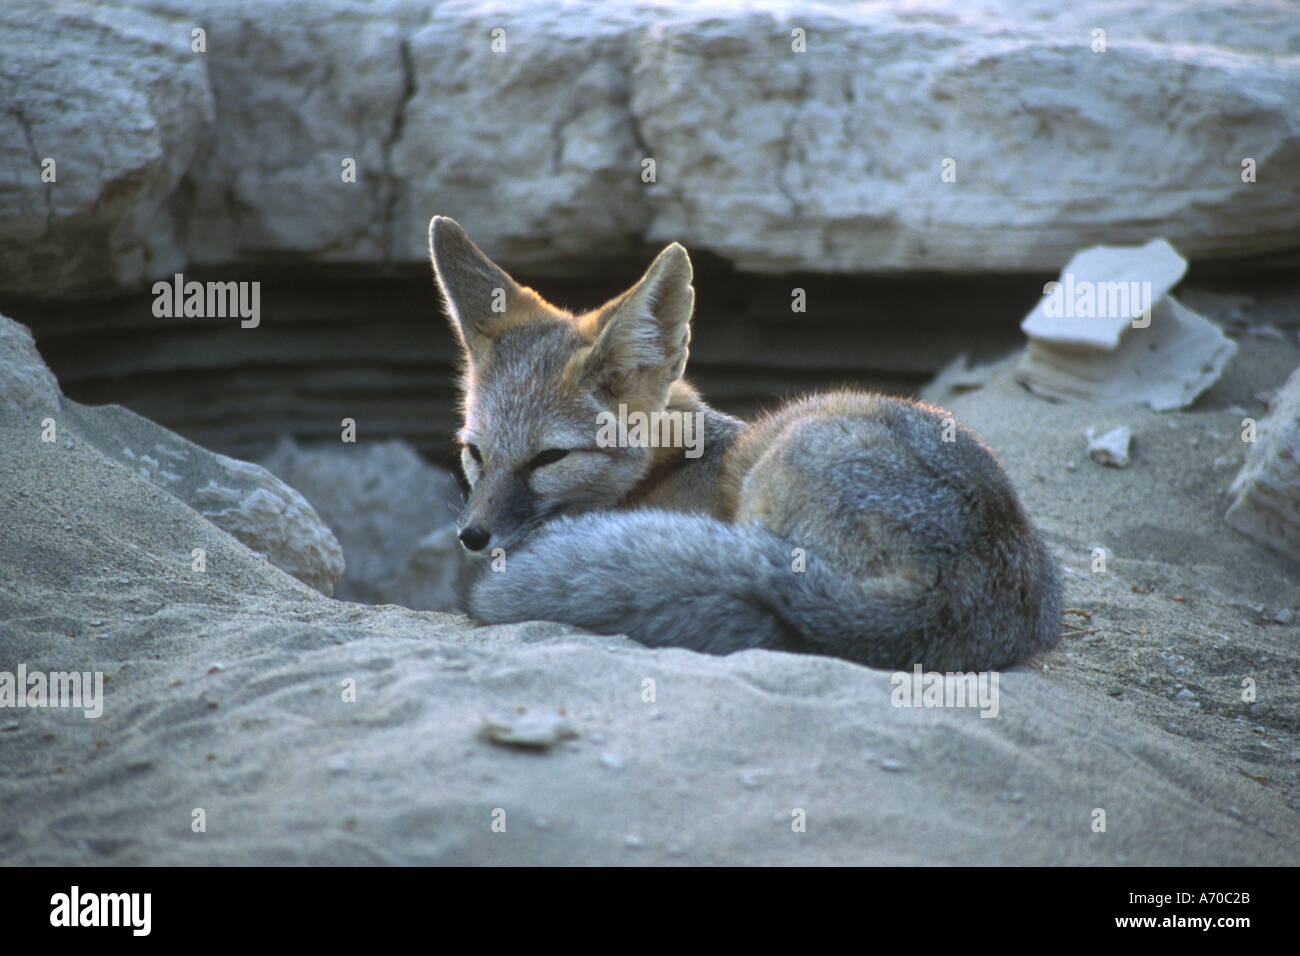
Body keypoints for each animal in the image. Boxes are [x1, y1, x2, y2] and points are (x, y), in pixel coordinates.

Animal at [428, 215, 1063, 671]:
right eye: (475, 452)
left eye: (550, 458)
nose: (472, 535)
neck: (669, 466)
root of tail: (952, 589)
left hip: (782, 457)